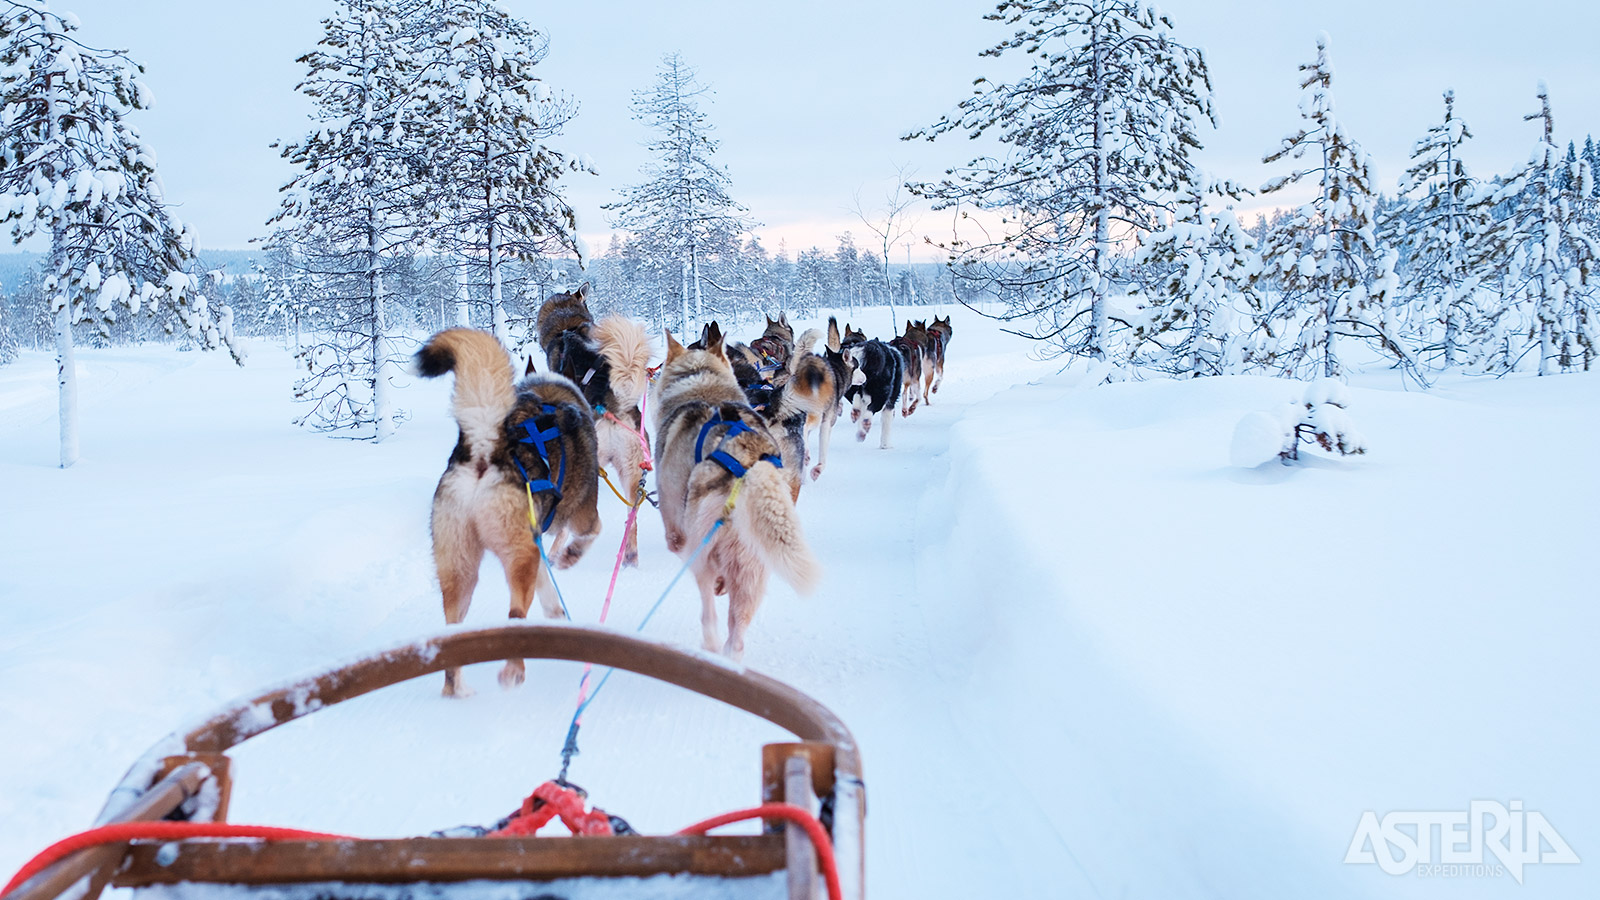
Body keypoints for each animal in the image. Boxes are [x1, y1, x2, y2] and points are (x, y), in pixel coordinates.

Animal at [416, 325, 601, 698]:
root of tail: (486, 450)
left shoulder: (538, 539)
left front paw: (557, 612)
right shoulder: (583, 515)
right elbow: (587, 535)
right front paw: (570, 557)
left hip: (460, 569)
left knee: (452, 632)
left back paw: (458, 691)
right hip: (518, 555)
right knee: (515, 614)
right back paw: (513, 671)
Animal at [652, 325, 825, 656]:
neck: (703, 386)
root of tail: (748, 465)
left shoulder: (675, 526)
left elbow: (675, 543)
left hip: (702, 551)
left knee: (708, 608)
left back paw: (708, 642)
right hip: (756, 564)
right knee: (736, 637)